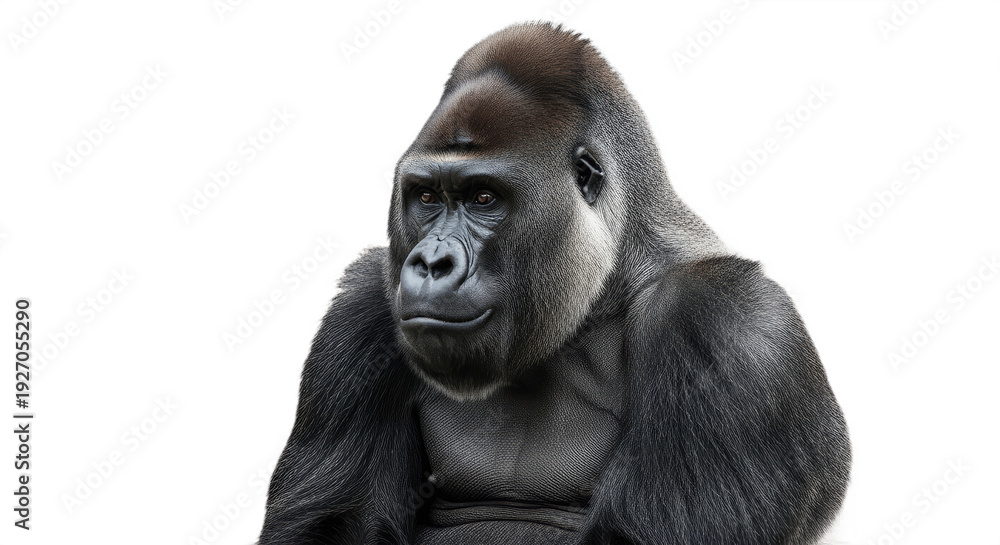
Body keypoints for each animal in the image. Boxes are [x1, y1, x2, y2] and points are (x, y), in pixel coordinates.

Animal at [259, 22, 850, 545]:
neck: (608, 281)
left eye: (483, 197)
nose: (430, 263)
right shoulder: (363, 311)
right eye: (426, 197)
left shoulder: (725, 323)